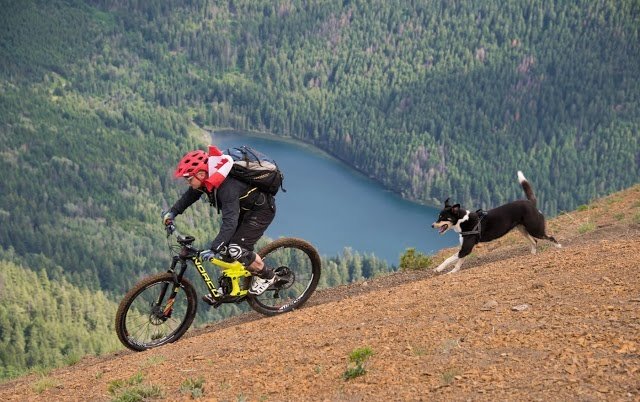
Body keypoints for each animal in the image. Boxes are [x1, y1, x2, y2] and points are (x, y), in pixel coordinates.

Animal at [431, 171, 561, 274]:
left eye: (442, 217)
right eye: (438, 216)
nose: (432, 225)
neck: (463, 220)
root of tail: (531, 203)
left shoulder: (466, 248)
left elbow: (451, 258)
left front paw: (442, 270)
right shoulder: (465, 248)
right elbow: (457, 261)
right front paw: (448, 271)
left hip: (535, 229)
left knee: (550, 237)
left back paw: (559, 247)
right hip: (522, 229)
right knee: (534, 241)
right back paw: (533, 254)